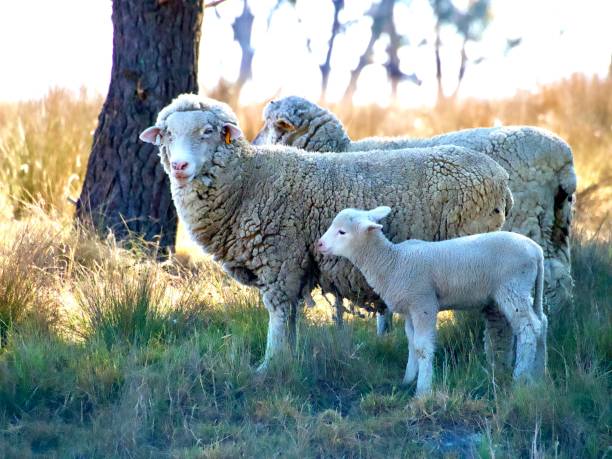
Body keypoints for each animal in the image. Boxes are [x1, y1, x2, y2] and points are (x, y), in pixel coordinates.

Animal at [318, 207, 548, 398]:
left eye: (342, 232)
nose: (319, 244)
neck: (393, 263)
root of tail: (536, 249)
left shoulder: (424, 303)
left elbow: (422, 346)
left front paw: (423, 389)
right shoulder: (409, 310)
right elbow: (411, 343)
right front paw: (408, 379)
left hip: (512, 286)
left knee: (529, 329)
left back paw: (520, 377)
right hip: (524, 289)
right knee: (542, 323)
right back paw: (538, 374)